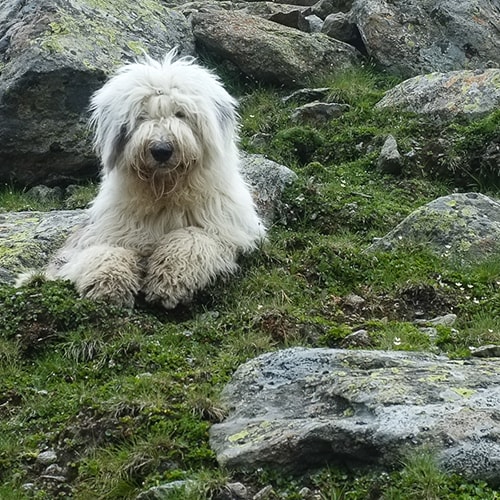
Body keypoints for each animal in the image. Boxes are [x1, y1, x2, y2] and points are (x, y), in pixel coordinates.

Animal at [44, 50, 266, 308]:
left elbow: (192, 237)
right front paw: (108, 282)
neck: (165, 192)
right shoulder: (104, 231)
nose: (161, 150)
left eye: (181, 114)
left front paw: (169, 279)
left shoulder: (229, 228)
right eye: (140, 117)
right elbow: (103, 250)